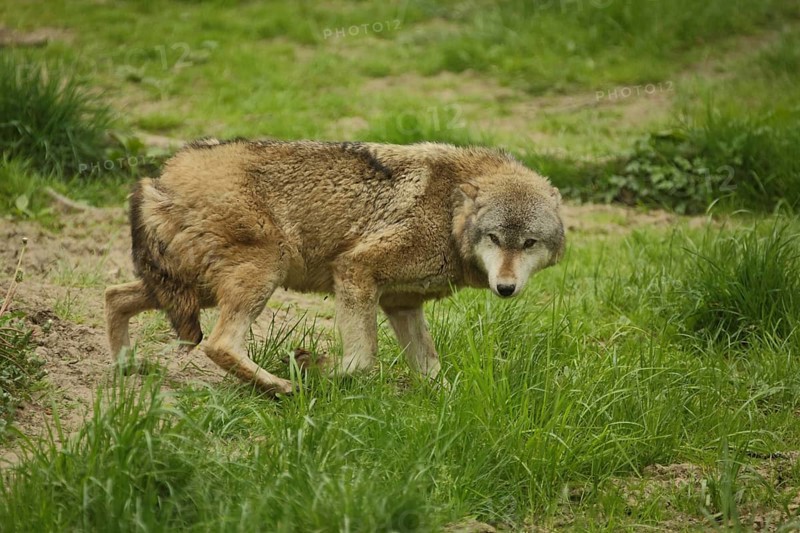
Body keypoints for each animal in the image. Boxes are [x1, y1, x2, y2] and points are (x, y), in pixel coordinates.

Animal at [105, 140, 565, 395]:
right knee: (219, 345)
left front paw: (450, 407)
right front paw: (315, 369)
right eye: (494, 239)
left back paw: (127, 368)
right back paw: (283, 387)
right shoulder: (355, 269)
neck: (449, 210)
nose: (505, 288)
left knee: (114, 296)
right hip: (260, 274)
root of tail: (160, 177)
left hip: (192, 291)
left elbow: (433, 371)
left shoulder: (403, 304)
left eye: (528, 243)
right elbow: (362, 361)